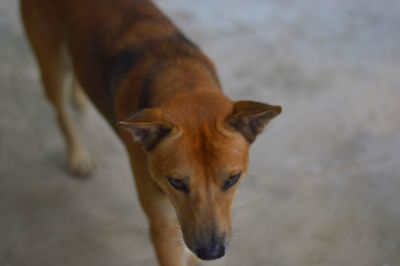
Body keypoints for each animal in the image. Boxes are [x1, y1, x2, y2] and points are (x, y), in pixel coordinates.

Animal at [19, 0, 282, 264]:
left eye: (232, 179)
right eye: (176, 182)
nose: (211, 252)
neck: (182, 78)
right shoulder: (164, 228)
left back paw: (79, 96)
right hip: (51, 62)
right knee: (60, 111)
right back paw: (78, 155)